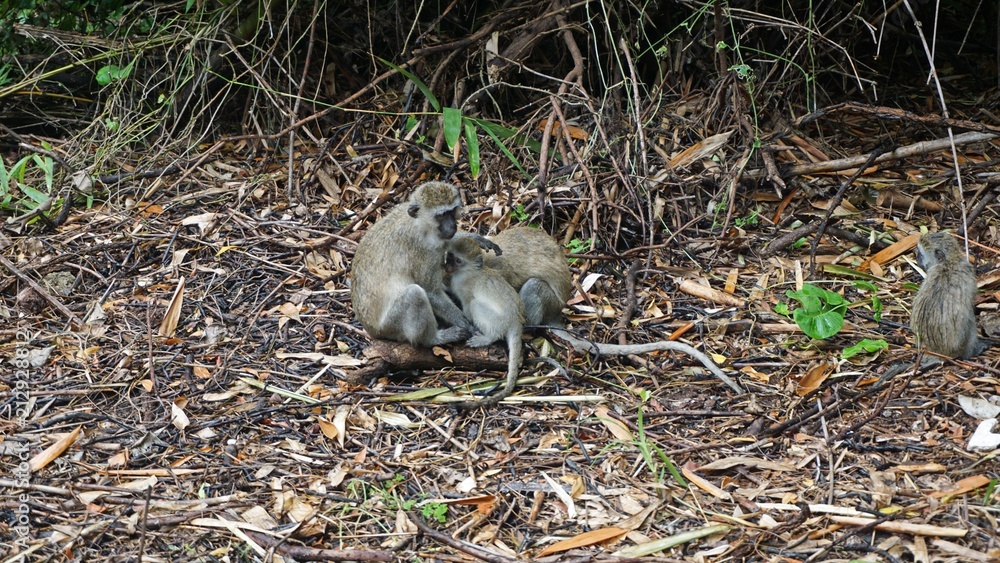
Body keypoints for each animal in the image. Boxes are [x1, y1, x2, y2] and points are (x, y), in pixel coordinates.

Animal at [350, 181, 475, 347]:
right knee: (414, 294)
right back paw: (433, 338)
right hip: (391, 326)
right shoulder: (424, 249)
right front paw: (466, 323)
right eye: (441, 215)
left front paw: (472, 237)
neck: (419, 224)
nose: (453, 226)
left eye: (452, 211)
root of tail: (372, 331)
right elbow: (430, 291)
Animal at [444, 236, 526, 408]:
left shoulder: (463, 285)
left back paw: (487, 338)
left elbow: (467, 307)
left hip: (497, 321)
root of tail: (515, 321)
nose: (447, 266)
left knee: (475, 305)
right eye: (450, 256)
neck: (469, 271)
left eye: (458, 261)